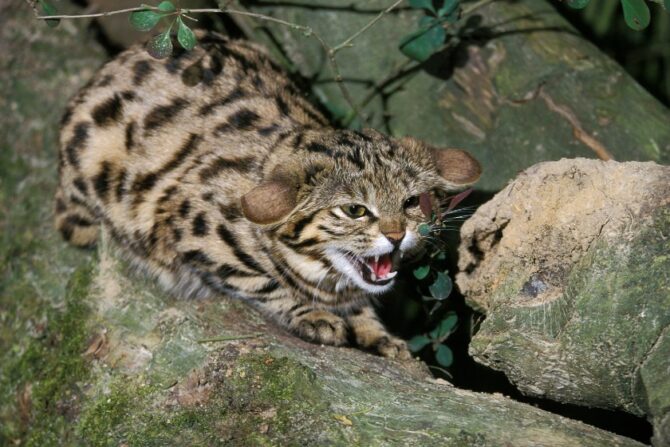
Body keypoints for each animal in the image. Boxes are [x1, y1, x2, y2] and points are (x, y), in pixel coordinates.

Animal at [55, 30, 480, 360]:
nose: (396, 235)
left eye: (411, 202)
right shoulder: (188, 226)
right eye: (354, 210)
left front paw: (377, 333)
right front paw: (313, 315)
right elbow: (261, 282)